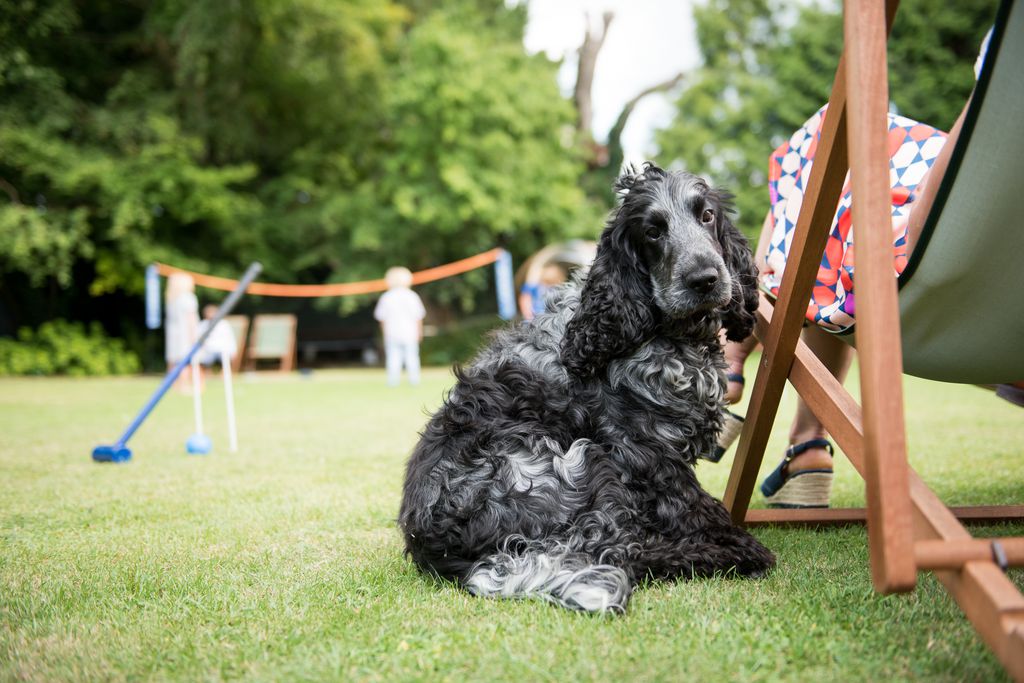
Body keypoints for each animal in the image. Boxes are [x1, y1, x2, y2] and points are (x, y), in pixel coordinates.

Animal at [395, 162, 770, 610]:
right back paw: (732, 554)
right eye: (652, 231)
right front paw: (729, 536)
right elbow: (693, 506)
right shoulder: (646, 455)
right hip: (581, 465)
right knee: (627, 553)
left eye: (707, 215)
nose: (705, 279)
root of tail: (445, 552)